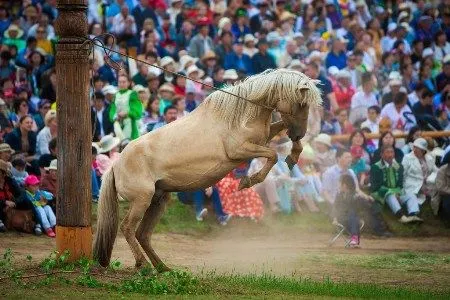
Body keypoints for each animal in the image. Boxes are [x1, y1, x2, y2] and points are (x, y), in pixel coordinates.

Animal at [93, 68, 322, 270]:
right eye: (301, 103)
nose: (299, 133)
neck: (240, 115)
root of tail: (114, 166)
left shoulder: (262, 138)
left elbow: (280, 131)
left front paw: (293, 156)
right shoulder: (239, 150)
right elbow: (272, 155)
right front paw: (248, 180)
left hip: (158, 200)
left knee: (143, 234)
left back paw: (162, 267)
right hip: (142, 199)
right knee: (128, 228)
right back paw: (143, 265)